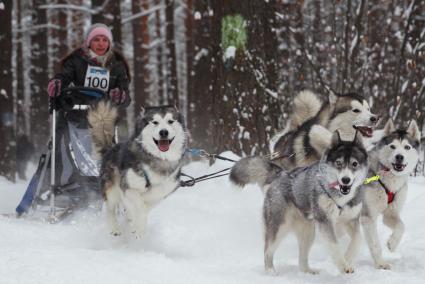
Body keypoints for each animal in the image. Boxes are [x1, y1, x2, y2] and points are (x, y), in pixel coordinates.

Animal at [88, 101, 187, 237]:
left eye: (170, 121)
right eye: (155, 122)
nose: (164, 132)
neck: (159, 159)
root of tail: (111, 149)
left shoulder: (161, 194)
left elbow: (146, 207)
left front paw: (137, 225)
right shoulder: (128, 187)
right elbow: (141, 207)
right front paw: (137, 227)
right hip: (112, 189)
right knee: (110, 209)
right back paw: (115, 228)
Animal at [229, 132, 368, 274]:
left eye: (354, 164)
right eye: (338, 163)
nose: (346, 180)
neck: (341, 197)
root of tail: (281, 174)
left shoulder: (351, 220)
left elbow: (358, 239)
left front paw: (348, 258)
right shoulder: (325, 221)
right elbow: (335, 245)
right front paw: (343, 265)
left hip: (308, 231)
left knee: (302, 260)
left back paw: (308, 271)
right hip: (280, 227)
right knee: (267, 250)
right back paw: (270, 271)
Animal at [358, 118, 420, 270]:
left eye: (407, 147)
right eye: (392, 146)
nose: (399, 157)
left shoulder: (390, 213)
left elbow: (401, 226)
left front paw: (392, 244)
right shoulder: (368, 216)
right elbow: (375, 244)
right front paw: (381, 264)